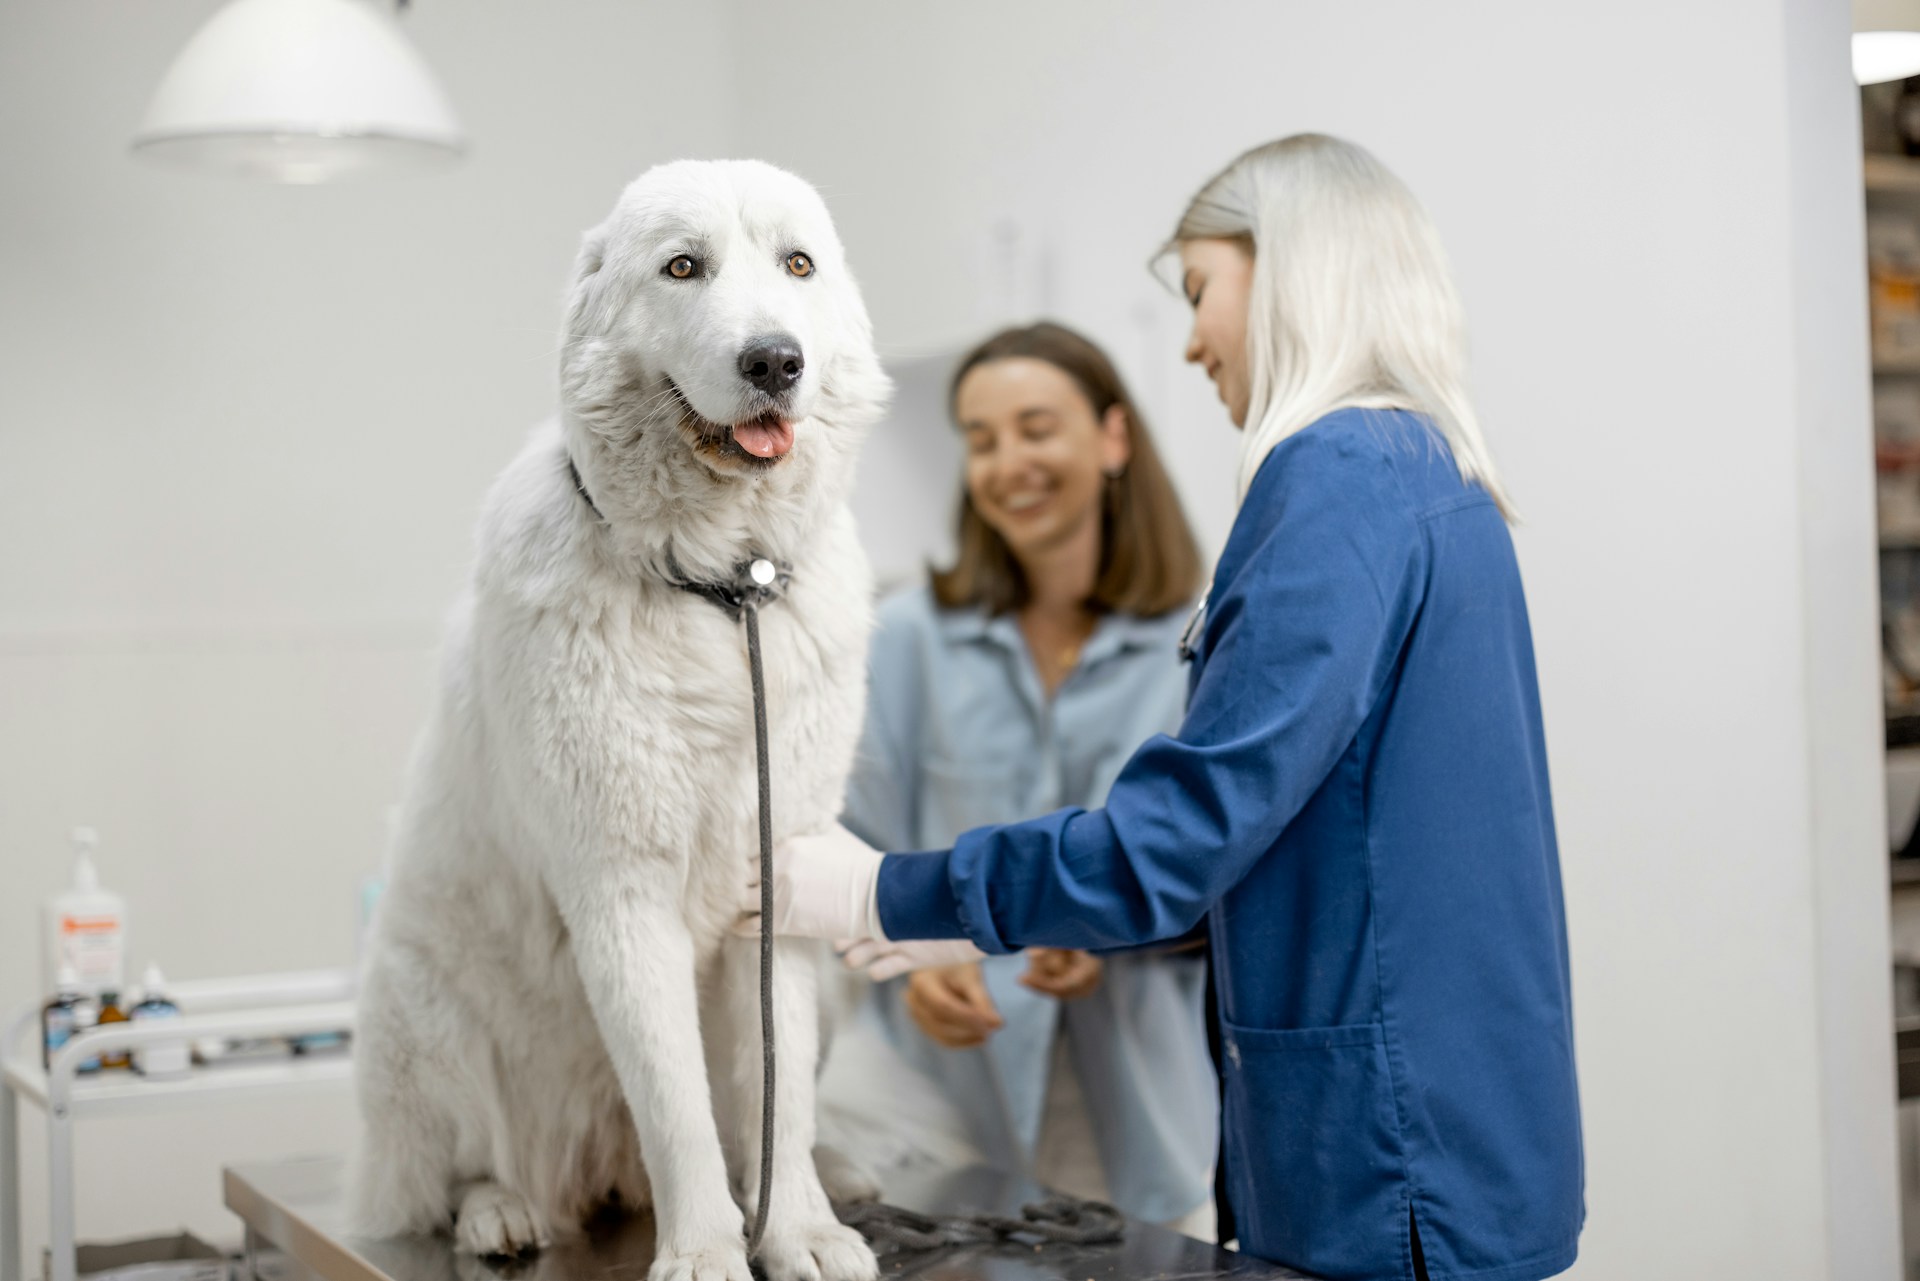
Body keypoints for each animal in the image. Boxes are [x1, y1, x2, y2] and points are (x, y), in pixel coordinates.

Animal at [355, 157, 890, 1281]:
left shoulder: (777, 886)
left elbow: (774, 1099)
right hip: (423, 1007)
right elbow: (676, 1105)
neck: (719, 588)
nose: (775, 360)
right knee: (452, 1165)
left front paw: (800, 1229)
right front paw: (704, 1251)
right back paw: (497, 1211)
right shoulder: (620, 892)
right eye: (683, 267)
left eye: (798, 265)